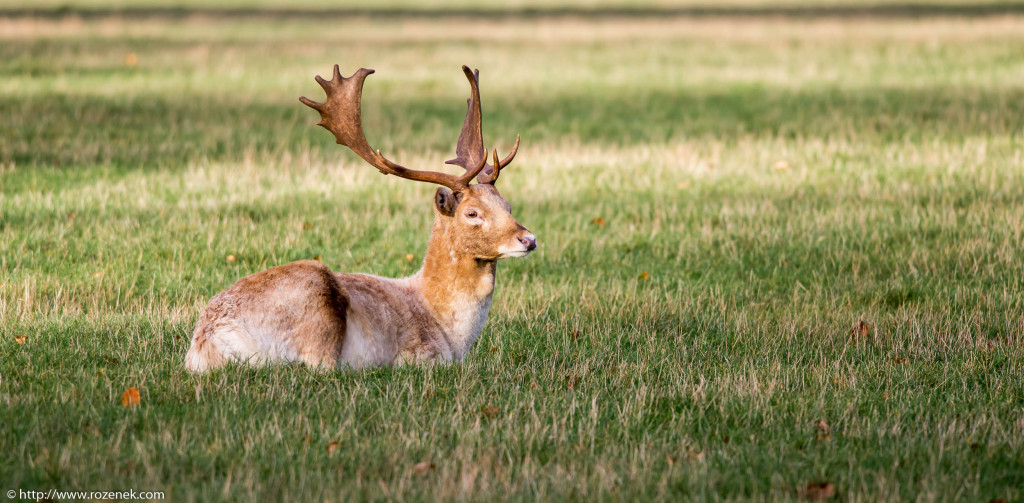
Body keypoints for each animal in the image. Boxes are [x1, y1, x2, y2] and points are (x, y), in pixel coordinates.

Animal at [184, 65, 536, 372]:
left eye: (507, 204)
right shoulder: (420, 353)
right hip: (316, 302)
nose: (528, 239)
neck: (448, 330)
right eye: (472, 213)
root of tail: (207, 346)